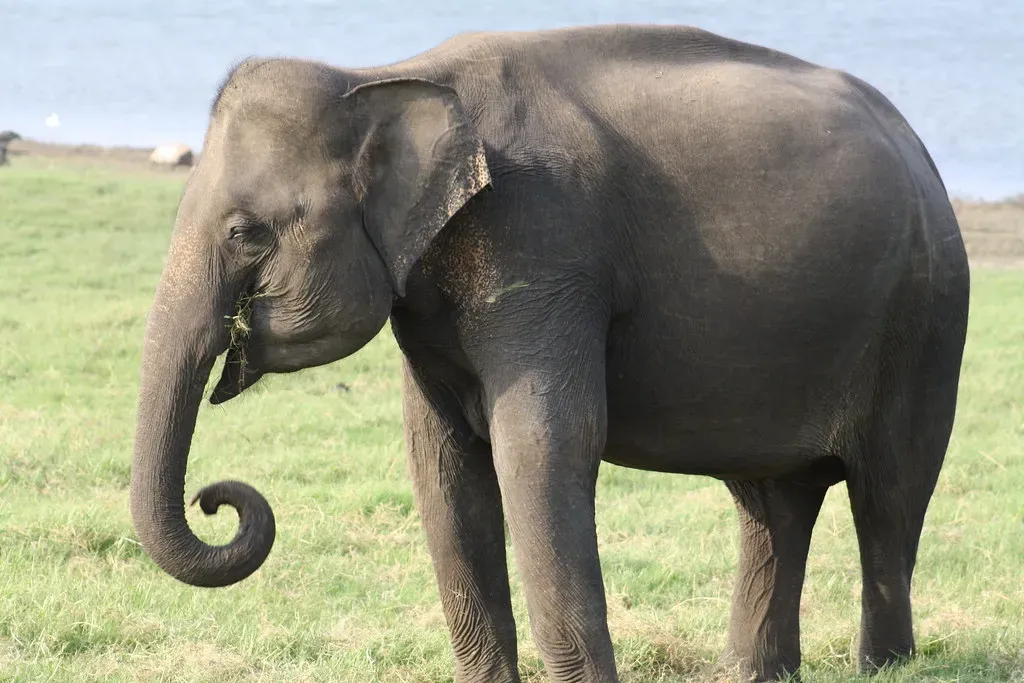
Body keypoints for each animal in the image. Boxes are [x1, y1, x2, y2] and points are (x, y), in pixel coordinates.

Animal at [129, 24, 970, 683]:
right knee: (774, 504)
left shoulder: (544, 241)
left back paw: (884, 666)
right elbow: (442, 462)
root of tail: (923, 150)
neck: (381, 73)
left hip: (924, 317)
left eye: (246, 233)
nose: (216, 497)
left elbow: (542, 444)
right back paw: (756, 670)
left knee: (888, 500)